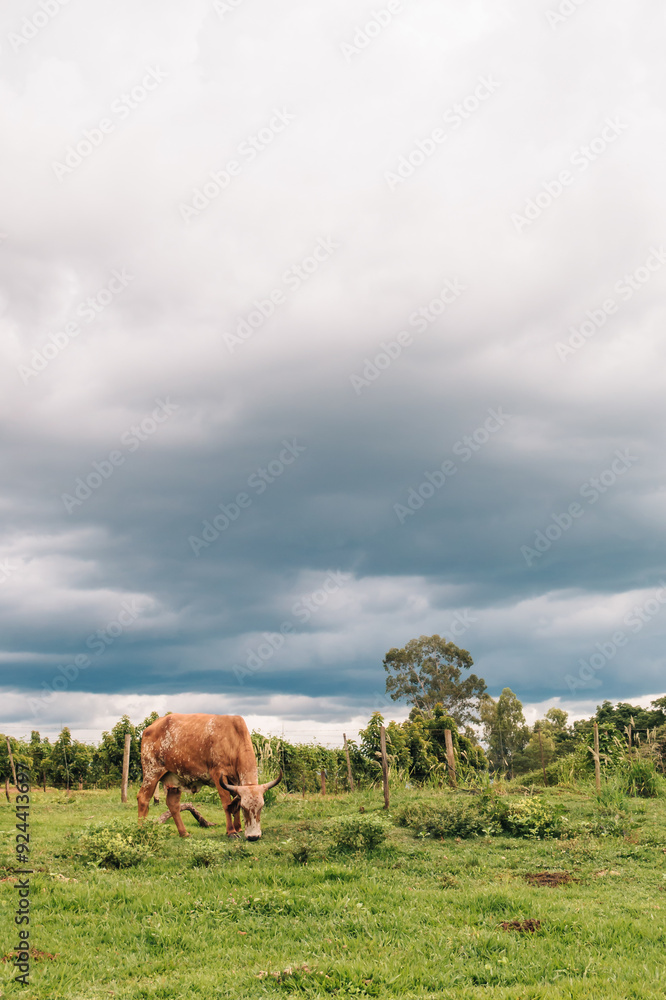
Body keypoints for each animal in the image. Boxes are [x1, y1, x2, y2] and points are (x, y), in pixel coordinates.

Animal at [137, 713, 281, 841]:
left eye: (261, 807)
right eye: (245, 808)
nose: (253, 837)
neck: (233, 739)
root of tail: (151, 727)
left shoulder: (235, 782)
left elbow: (235, 803)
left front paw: (239, 828)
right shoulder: (218, 774)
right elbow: (227, 804)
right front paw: (231, 832)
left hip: (175, 780)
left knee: (173, 804)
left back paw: (184, 833)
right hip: (151, 772)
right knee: (143, 798)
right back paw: (142, 830)